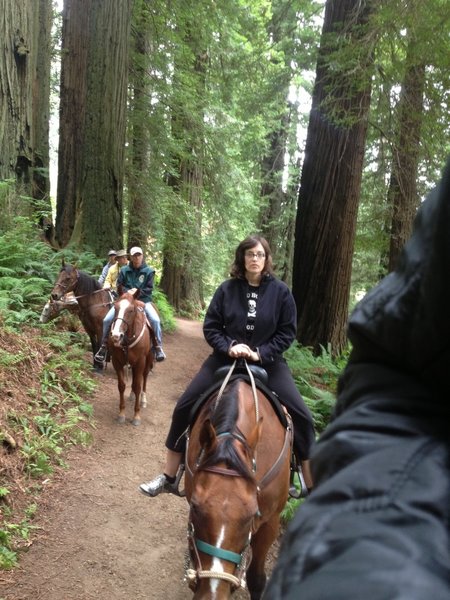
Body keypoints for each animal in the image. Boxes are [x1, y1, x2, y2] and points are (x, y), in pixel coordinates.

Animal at [108, 290, 154, 426]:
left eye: (131, 310)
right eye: (115, 307)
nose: (116, 335)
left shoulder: (140, 362)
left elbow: (138, 386)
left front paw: (136, 416)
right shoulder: (116, 361)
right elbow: (122, 386)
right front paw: (121, 414)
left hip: (148, 359)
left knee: (144, 377)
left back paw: (143, 399)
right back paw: (132, 395)